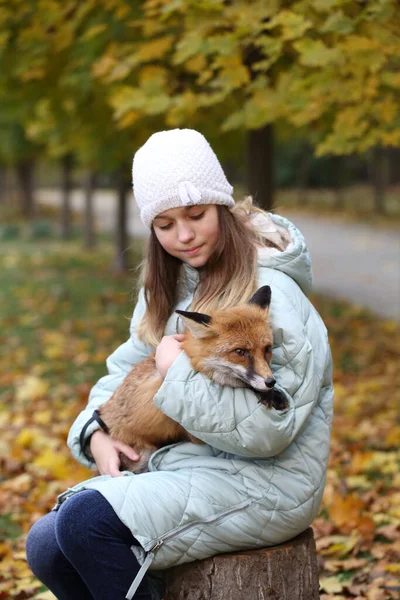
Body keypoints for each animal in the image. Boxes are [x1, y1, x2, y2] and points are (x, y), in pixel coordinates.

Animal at [97, 286, 286, 474]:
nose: (271, 382)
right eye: (240, 352)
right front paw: (267, 394)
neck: (192, 358)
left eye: (267, 349)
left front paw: (272, 395)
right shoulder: (193, 434)